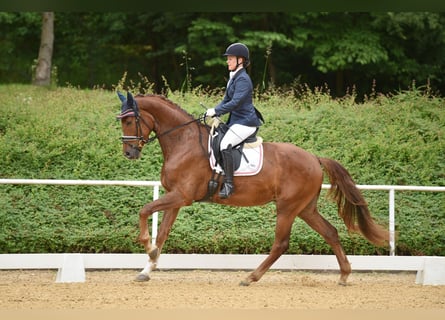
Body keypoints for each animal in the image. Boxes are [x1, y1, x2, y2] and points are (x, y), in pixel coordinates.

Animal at [116, 92, 386, 284]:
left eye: (129, 120)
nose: (129, 153)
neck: (184, 141)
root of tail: (314, 158)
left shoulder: (181, 196)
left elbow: (144, 210)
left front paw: (148, 248)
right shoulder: (176, 198)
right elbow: (162, 232)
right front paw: (147, 268)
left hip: (287, 207)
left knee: (281, 243)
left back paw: (251, 277)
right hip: (305, 208)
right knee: (330, 232)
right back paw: (344, 274)